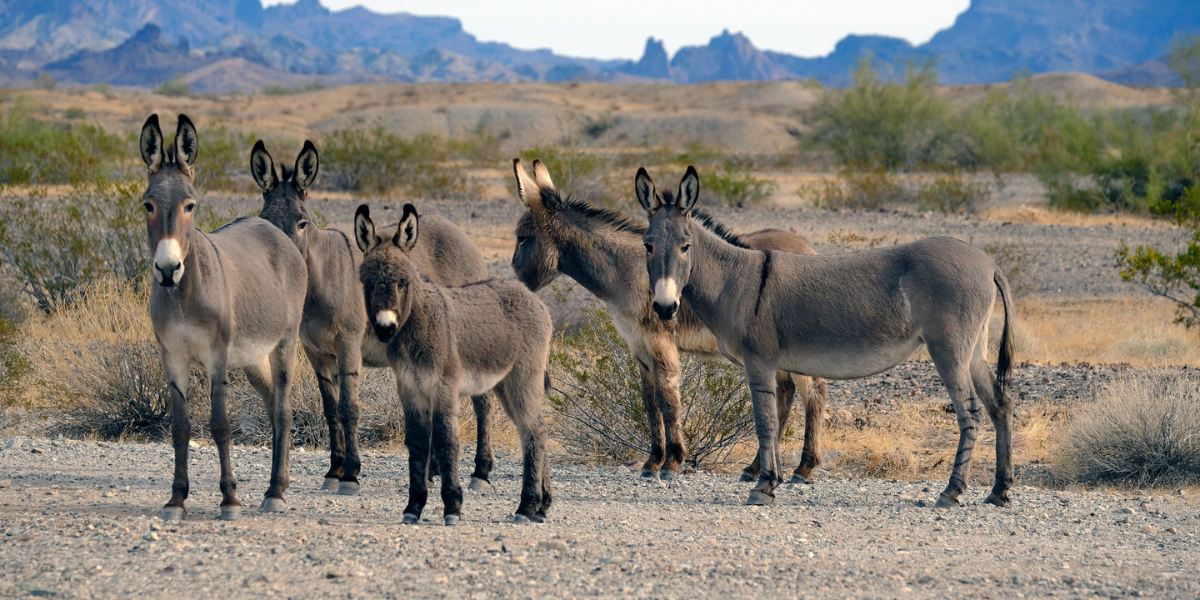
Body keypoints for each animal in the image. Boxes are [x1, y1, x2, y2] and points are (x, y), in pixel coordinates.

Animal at [350, 204, 549, 523]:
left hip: (523, 378)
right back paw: (543, 505)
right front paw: (413, 506)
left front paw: (452, 506)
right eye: (367, 284)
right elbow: (417, 442)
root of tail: (532, 297)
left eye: (402, 283)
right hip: (505, 384)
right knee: (536, 429)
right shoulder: (410, 388)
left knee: (533, 431)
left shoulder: (444, 386)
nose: (385, 328)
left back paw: (526, 506)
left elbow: (446, 441)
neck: (419, 323)